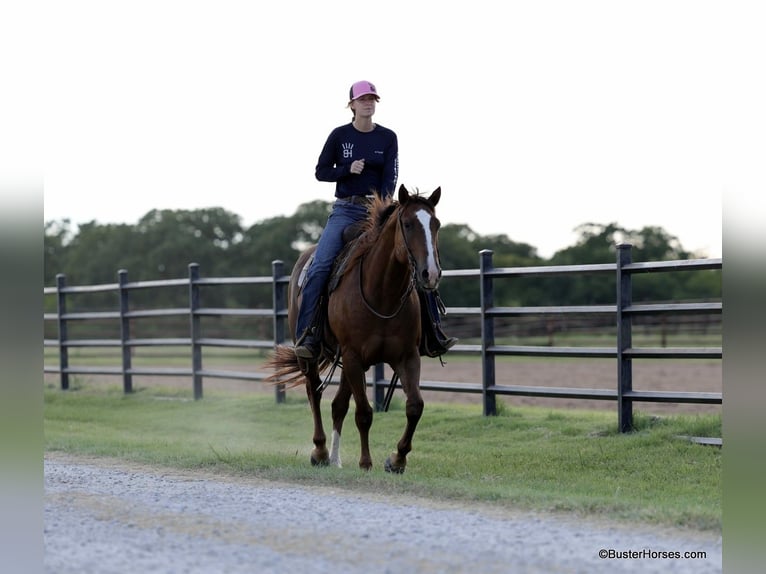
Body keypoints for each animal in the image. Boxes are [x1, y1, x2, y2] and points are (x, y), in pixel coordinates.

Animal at [264, 184, 443, 473]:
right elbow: (364, 413)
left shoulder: (407, 356)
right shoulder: (353, 356)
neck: (382, 293)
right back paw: (321, 451)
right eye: (407, 224)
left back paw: (335, 458)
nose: (431, 274)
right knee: (314, 392)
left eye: (436, 224)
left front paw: (397, 459)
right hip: (315, 357)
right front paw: (365, 462)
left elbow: (415, 406)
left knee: (338, 405)